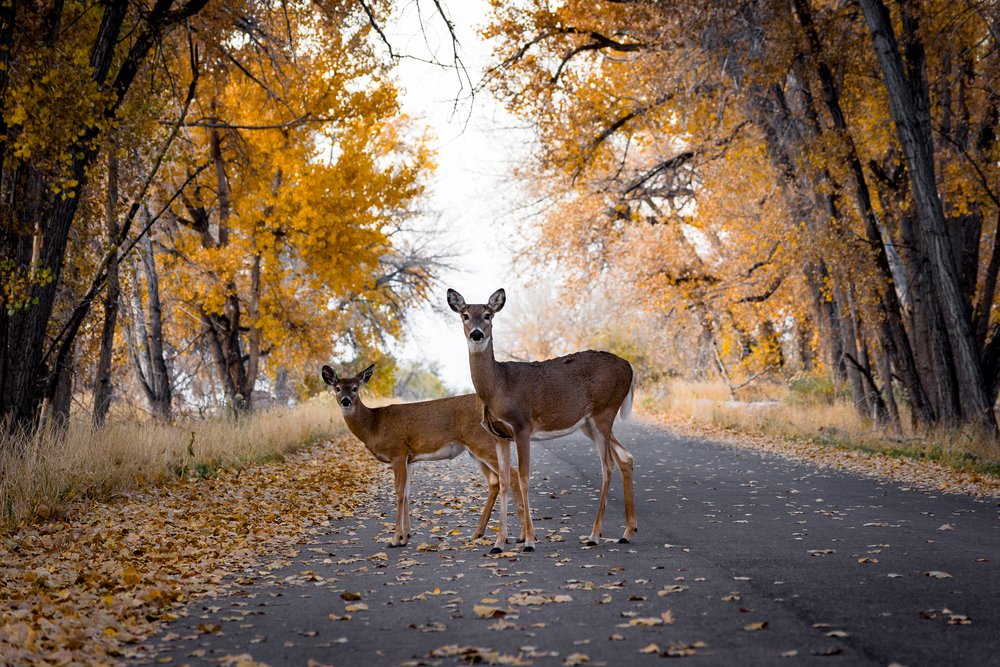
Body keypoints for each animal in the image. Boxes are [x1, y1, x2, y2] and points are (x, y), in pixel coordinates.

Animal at [321, 363, 526, 551]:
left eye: (355, 388)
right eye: (337, 388)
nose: (346, 401)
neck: (374, 425)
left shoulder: (397, 452)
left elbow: (398, 492)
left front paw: (395, 539)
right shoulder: (409, 458)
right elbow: (406, 493)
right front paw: (406, 537)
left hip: (482, 443)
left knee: (511, 475)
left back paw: (521, 537)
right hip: (474, 449)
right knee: (494, 481)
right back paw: (478, 533)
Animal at [447, 287, 637, 554]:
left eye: (487, 315)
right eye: (464, 315)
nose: (476, 334)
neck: (498, 386)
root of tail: (630, 367)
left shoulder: (522, 426)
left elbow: (524, 477)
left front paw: (528, 541)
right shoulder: (499, 435)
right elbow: (504, 481)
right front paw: (498, 543)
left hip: (604, 412)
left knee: (607, 465)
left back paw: (594, 535)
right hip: (588, 423)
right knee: (625, 457)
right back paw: (627, 533)